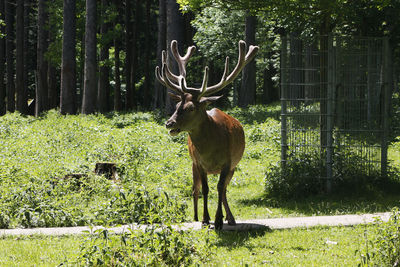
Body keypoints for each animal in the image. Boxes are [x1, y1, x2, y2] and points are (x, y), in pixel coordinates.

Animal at [155, 39, 258, 230]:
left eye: (190, 108)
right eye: (177, 105)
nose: (169, 123)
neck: (210, 151)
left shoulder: (227, 163)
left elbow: (219, 188)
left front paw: (218, 221)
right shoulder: (199, 163)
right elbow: (205, 189)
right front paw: (204, 219)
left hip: (234, 167)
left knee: (224, 189)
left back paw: (230, 218)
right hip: (193, 165)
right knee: (196, 189)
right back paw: (200, 216)